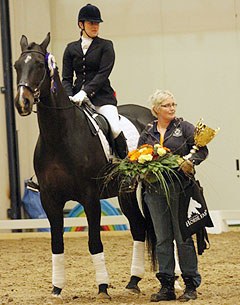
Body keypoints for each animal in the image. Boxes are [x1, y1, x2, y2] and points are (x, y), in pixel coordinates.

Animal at [14, 32, 155, 300]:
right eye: (17, 66)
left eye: (39, 66)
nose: (22, 103)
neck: (60, 136)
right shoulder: (50, 200)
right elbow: (56, 244)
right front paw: (56, 289)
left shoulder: (90, 198)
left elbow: (94, 242)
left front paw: (102, 288)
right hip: (125, 193)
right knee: (139, 227)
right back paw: (133, 281)